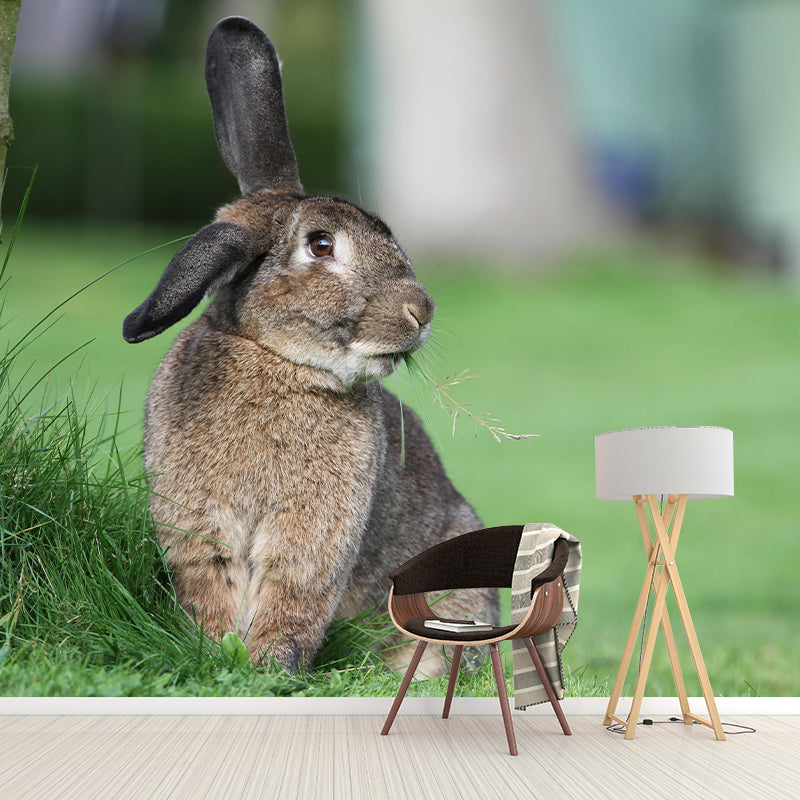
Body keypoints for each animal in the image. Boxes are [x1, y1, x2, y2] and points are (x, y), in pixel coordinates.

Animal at [123, 16, 496, 672]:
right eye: (321, 246)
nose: (420, 310)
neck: (276, 359)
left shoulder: (312, 535)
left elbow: (293, 593)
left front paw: (270, 665)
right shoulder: (198, 526)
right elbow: (211, 585)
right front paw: (216, 650)